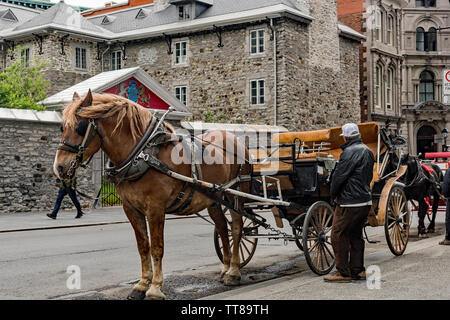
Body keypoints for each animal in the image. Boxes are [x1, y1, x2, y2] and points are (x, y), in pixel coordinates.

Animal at [54, 90, 251, 300]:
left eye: (81, 127)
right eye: (62, 127)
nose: (59, 167)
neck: (141, 154)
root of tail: (235, 139)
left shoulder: (155, 208)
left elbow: (157, 247)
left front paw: (155, 288)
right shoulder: (131, 209)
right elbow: (143, 246)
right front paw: (141, 284)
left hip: (236, 193)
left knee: (237, 228)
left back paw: (234, 272)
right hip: (214, 198)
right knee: (222, 228)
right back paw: (225, 268)